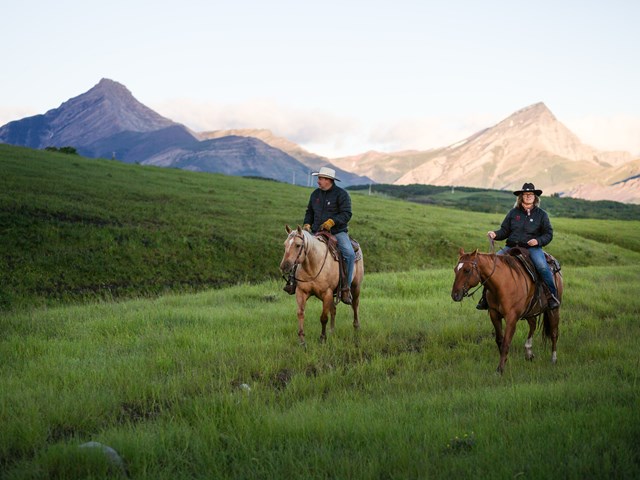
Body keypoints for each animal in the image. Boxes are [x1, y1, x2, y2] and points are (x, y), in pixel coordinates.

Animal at [452, 248, 564, 376]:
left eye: (467, 270)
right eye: (455, 269)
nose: (455, 295)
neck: (502, 284)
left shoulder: (511, 318)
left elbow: (506, 342)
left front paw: (500, 370)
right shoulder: (494, 314)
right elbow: (500, 340)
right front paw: (504, 362)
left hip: (553, 310)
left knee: (554, 333)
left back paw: (553, 359)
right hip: (530, 310)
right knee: (533, 325)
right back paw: (529, 352)